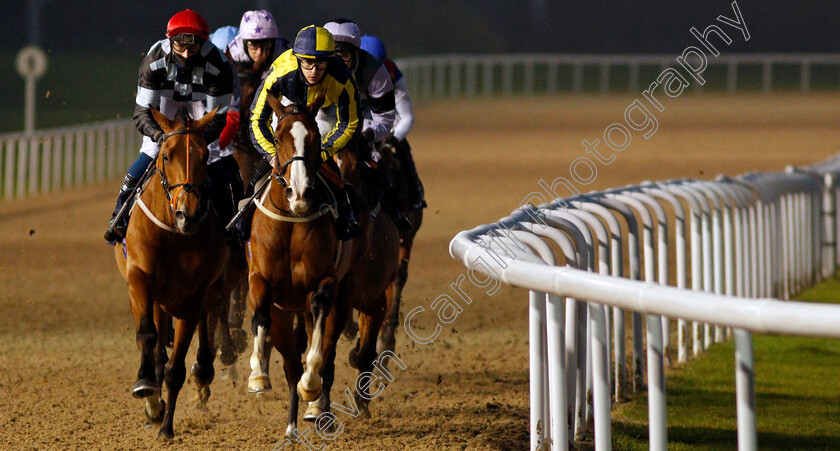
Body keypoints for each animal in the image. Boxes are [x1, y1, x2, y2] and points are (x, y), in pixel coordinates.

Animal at [113, 107, 230, 440]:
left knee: (206, 327)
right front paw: (147, 392)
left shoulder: (194, 295)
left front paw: (166, 427)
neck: (174, 234)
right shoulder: (140, 279)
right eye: (166, 155)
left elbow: (176, 368)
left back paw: (202, 371)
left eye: (205, 155)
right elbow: (148, 337)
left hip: (212, 287)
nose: (187, 213)